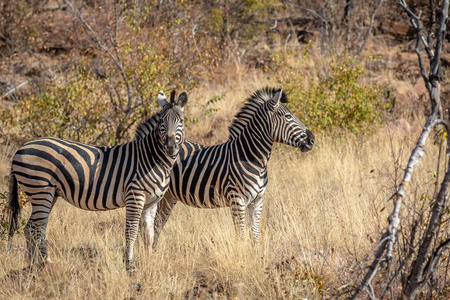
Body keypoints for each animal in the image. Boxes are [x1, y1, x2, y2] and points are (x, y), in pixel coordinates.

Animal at [8, 89, 188, 270]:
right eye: (161, 121)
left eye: (181, 121)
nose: (170, 147)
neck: (151, 158)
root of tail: (20, 149)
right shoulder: (135, 196)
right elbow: (131, 231)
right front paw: (129, 264)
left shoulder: (151, 202)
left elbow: (149, 234)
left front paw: (150, 260)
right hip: (40, 190)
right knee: (37, 228)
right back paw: (45, 262)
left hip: (49, 193)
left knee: (30, 228)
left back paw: (34, 266)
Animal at [135, 86, 314, 246]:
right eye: (288, 116)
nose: (312, 139)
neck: (252, 158)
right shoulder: (237, 200)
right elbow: (242, 236)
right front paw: (244, 259)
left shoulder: (257, 201)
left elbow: (255, 236)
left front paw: (257, 258)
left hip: (168, 197)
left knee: (156, 226)